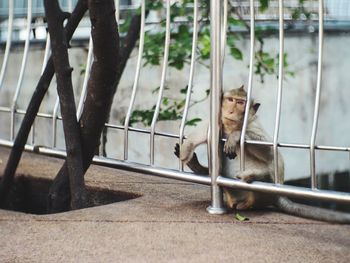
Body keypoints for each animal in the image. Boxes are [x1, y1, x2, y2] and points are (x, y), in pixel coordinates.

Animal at [176, 86, 350, 225]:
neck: (231, 126)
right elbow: (203, 134)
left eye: (241, 103)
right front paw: (186, 149)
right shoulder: (218, 124)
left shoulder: (253, 126)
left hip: (262, 194)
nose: (231, 111)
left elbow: (271, 152)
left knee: (268, 172)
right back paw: (198, 167)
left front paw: (235, 136)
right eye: (230, 100)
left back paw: (256, 176)